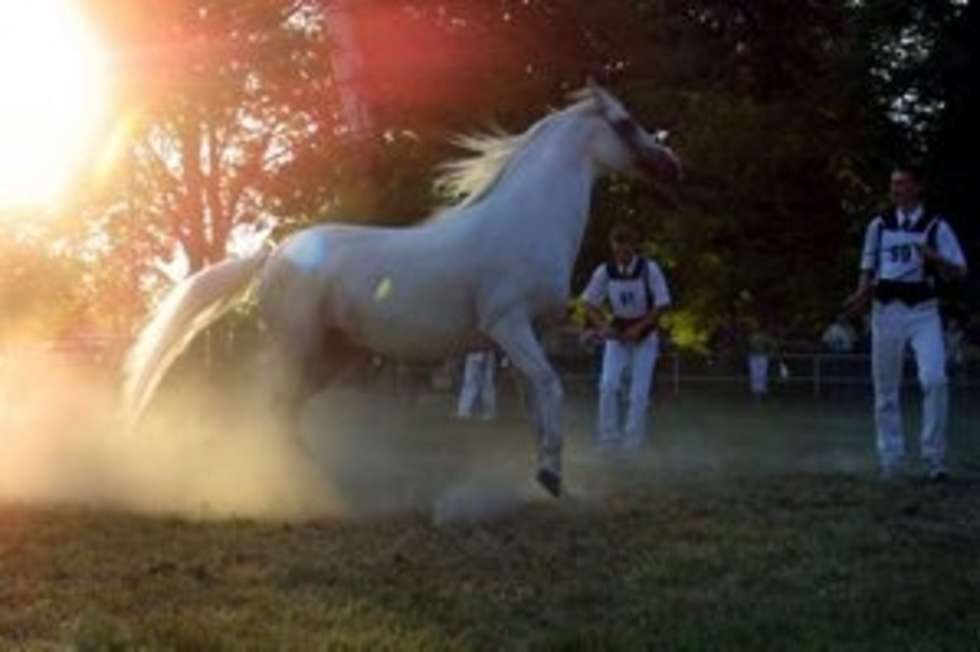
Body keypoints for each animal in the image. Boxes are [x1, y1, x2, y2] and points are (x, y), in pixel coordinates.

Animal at [124, 83, 680, 500]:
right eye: (625, 122)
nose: (672, 164)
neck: (526, 221)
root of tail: (273, 254)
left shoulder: (530, 335)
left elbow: (537, 400)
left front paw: (549, 477)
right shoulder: (509, 325)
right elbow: (551, 387)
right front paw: (549, 474)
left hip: (335, 356)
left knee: (287, 409)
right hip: (298, 347)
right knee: (276, 406)